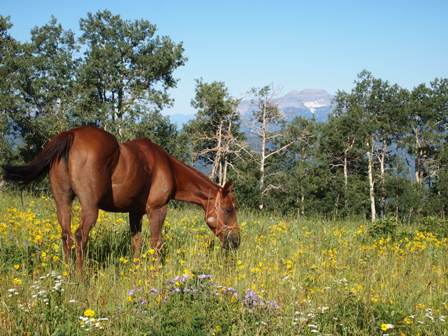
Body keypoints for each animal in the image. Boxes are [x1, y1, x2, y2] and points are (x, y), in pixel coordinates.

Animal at [2, 126, 242, 272]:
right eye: (229, 209)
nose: (236, 241)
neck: (168, 168)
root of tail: (71, 134)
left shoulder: (134, 213)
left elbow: (136, 242)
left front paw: (135, 270)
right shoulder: (158, 209)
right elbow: (155, 243)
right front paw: (155, 273)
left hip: (62, 202)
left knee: (66, 235)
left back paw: (68, 273)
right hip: (90, 208)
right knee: (80, 236)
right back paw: (81, 277)